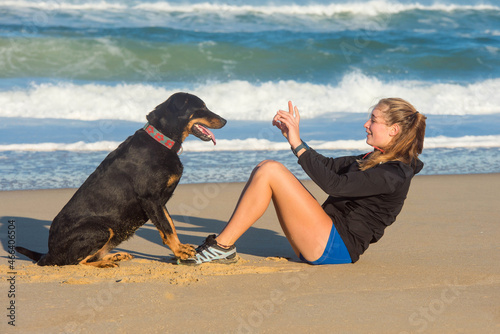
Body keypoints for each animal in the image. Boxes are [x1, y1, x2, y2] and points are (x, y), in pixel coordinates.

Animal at [15, 92, 227, 268]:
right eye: (201, 108)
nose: (225, 120)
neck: (161, 141)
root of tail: (48, 254)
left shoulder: (160, 201)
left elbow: (170, 225)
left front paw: (180, 248)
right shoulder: (150, 198)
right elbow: (167, 228)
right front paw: (180, 251)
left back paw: (114, 256)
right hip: (100, 230)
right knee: (74, 262)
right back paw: (105, 263)